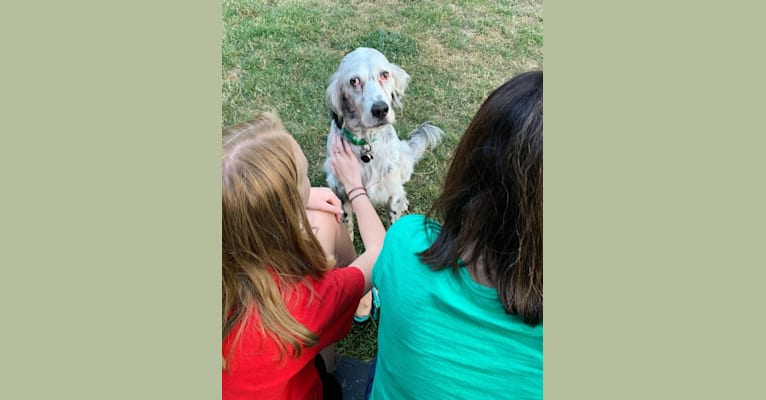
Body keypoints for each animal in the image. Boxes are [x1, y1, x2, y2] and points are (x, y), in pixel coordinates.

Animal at [322, 47, 444, 236]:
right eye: (354, 81)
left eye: (385, 74)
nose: (380, 109)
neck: (367, 143)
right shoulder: (342, 190)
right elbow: (347, 223)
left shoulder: (391, 191)